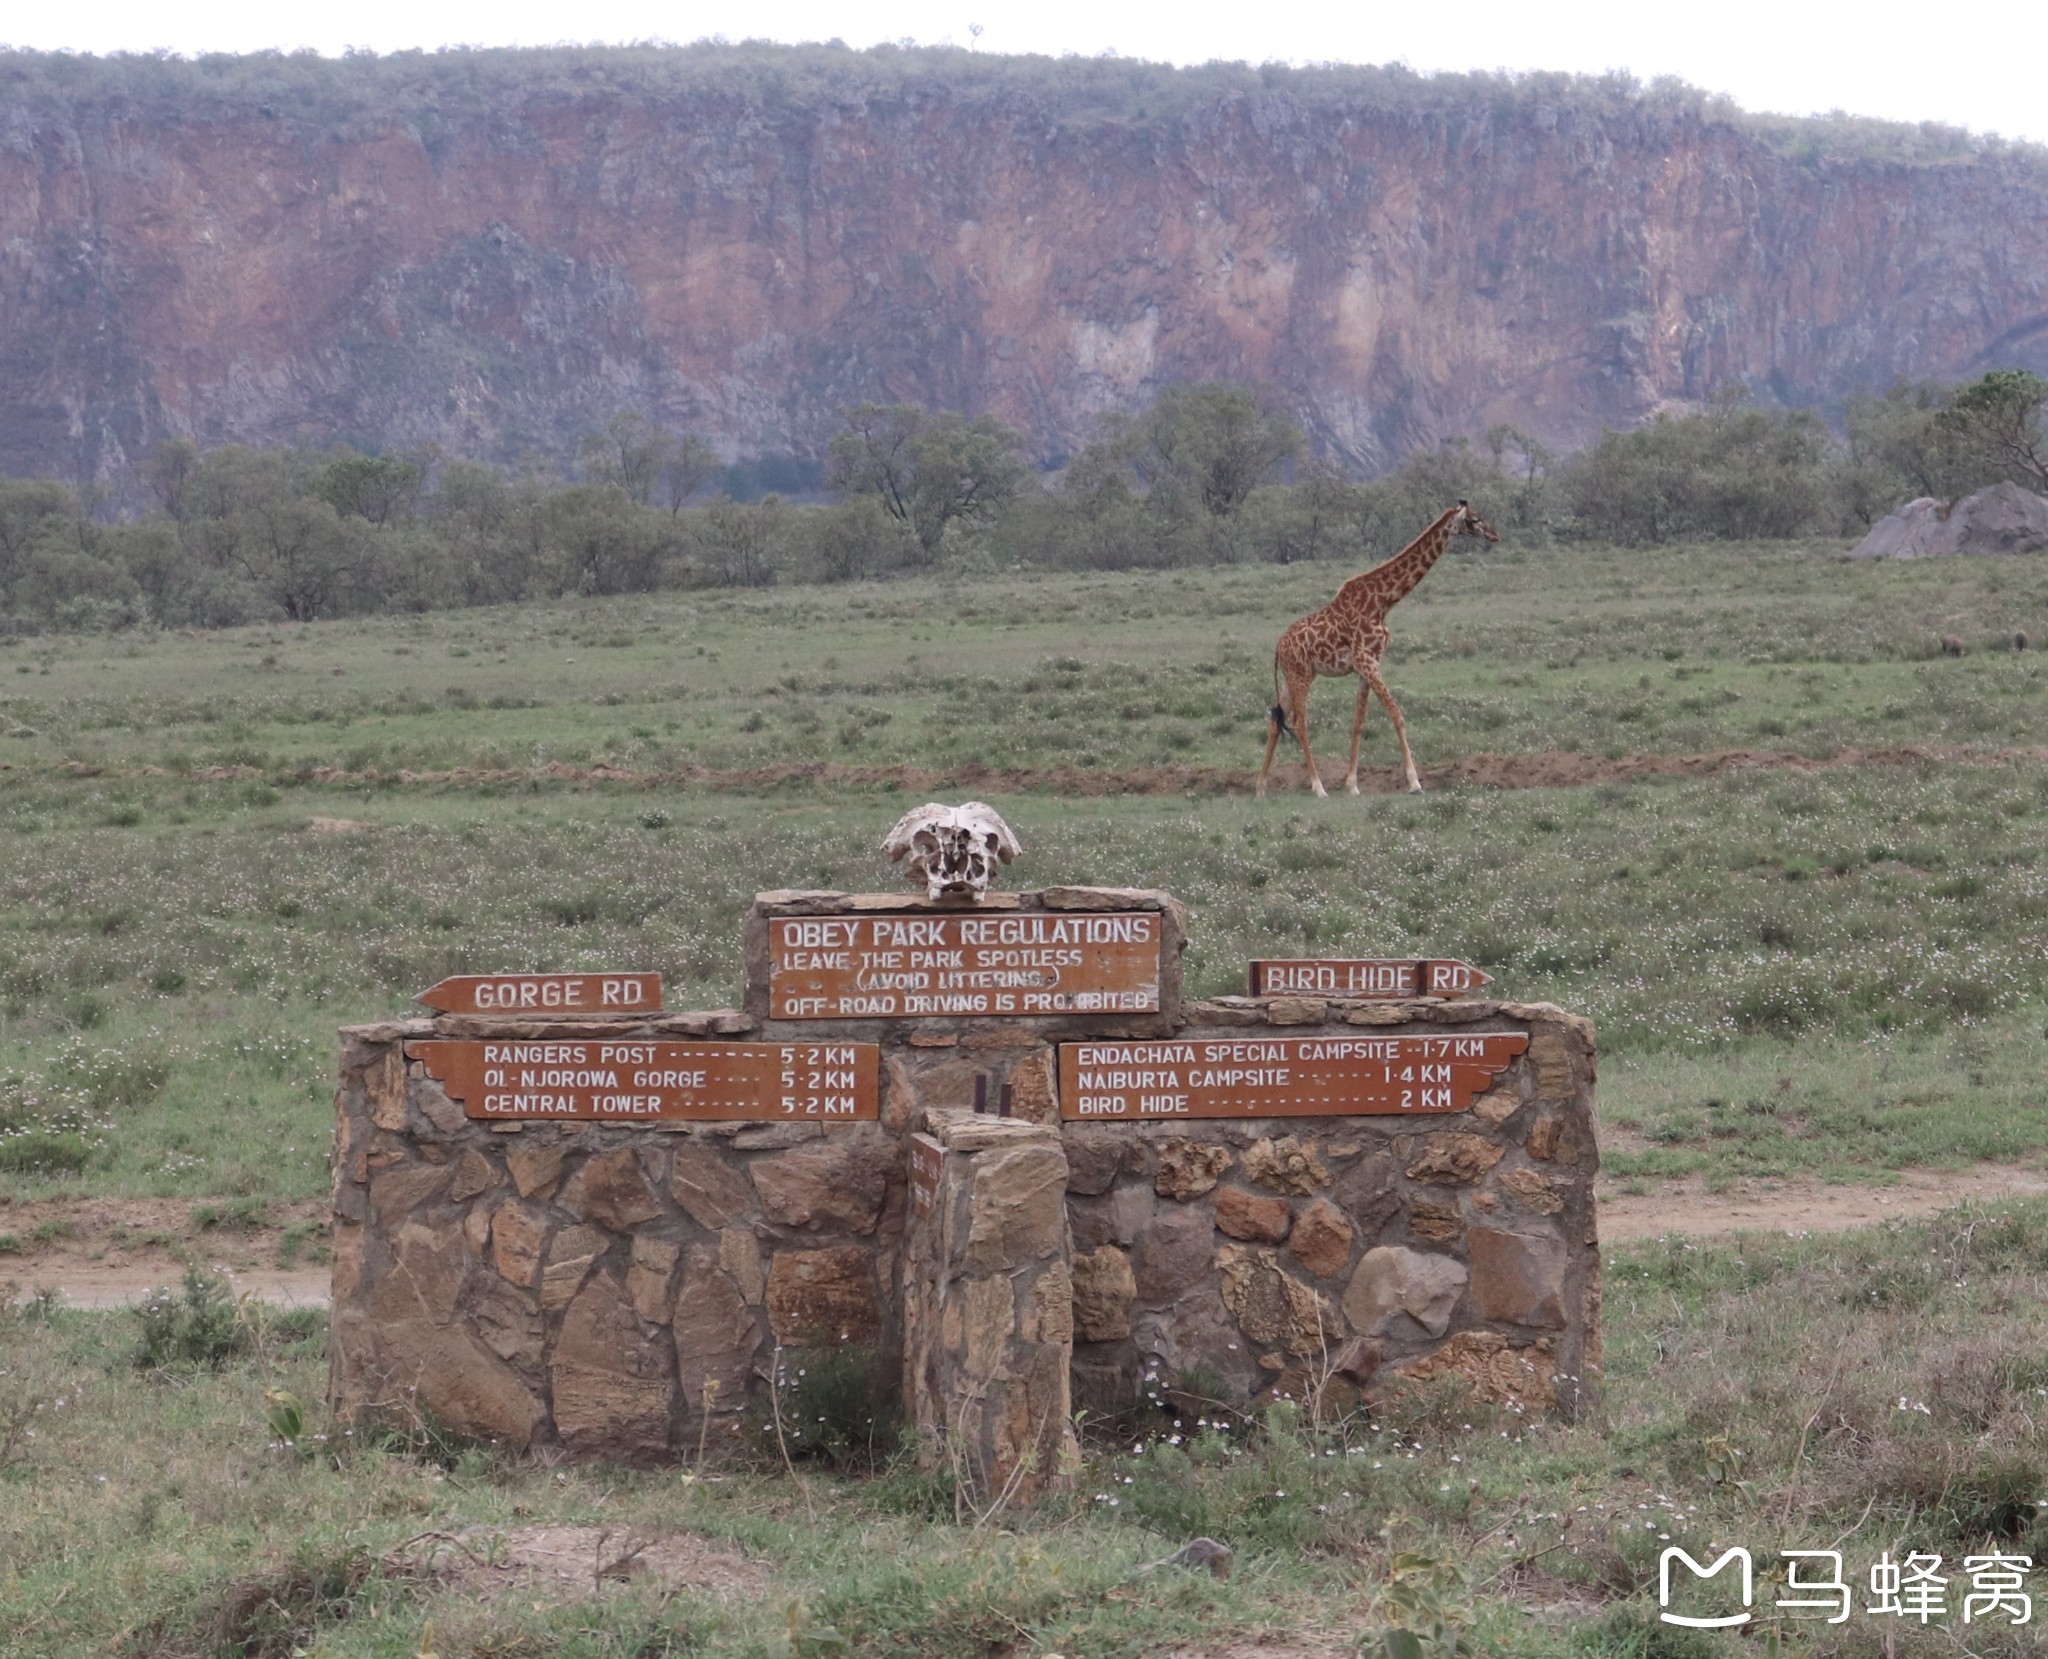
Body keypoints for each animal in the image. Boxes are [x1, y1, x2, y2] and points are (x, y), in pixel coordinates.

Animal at [1245, 497, 1507, 794]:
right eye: (1474, 519)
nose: (1495, 535)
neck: (1383, 602)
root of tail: (1278, 647)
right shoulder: (1367, 661)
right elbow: (1396, 714)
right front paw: (1414, 782)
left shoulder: (1367, 664)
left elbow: (1358, 723)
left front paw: (1352, 785)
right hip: (1300, 676)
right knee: (1300, 725)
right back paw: (1318, 788)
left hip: (1296, 676)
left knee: (1275, 720)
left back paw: (1260, 789)